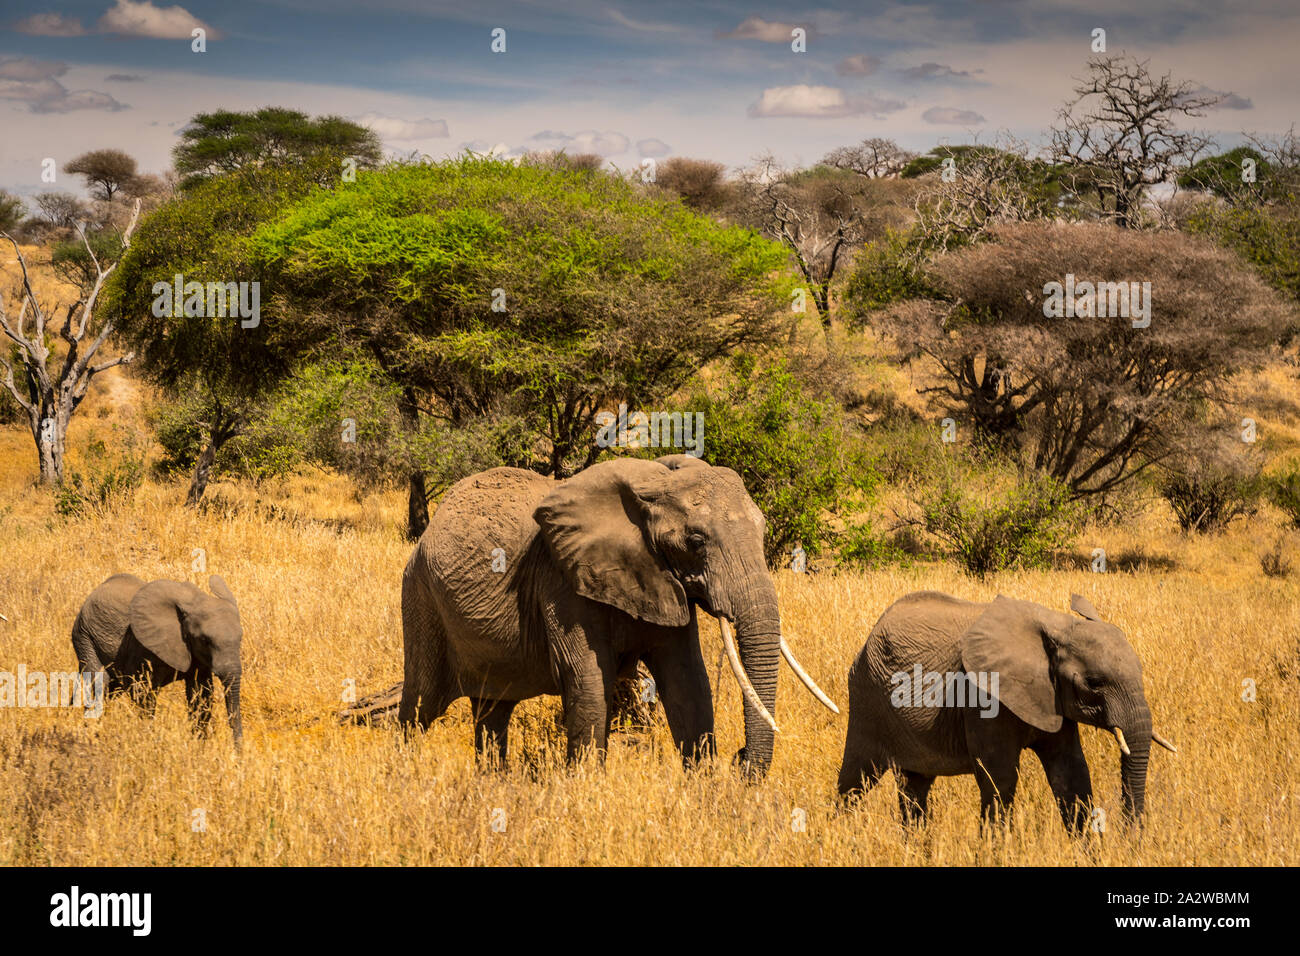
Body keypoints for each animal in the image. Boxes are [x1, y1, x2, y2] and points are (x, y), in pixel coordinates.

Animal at [71, 572, 244, 743]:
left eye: (240, 639)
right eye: (205, 640)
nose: (237, 750)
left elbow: (200, 695)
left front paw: (198, 745)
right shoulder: (142, 647)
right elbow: (142, 692)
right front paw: (149, 738)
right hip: (84, 636)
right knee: (101, 684)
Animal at [397, 455, 842, 780]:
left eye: (763, 532)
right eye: (696, 541)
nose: (741, 757)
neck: (653, 487)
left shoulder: (662, 580)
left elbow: (688, 682)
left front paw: (704, 789)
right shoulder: (562, 581)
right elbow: (590, 682)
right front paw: (586, 791)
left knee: (493, 710)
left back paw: (493, 784)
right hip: (419, 595)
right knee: (421, 704)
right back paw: (405, 777)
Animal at [837, 590, 1175, 832]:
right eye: (1094, 683)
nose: (1131, 838)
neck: (1056, 625)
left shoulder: (1053, 697)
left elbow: (1071, 773)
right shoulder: (982, 696)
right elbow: (999, 779)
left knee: (914, 788)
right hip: (868, 698)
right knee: (855, 780)